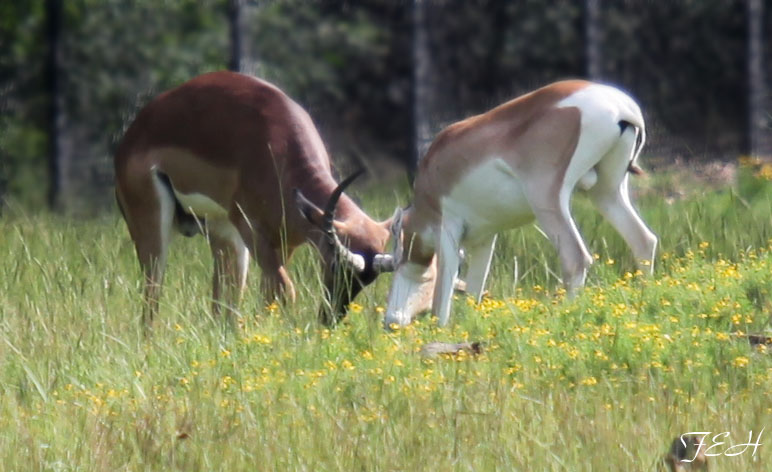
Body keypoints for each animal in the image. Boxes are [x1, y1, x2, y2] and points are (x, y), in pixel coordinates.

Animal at [114, 71, 400, 326]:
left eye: (368, 280)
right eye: (333, 264)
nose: (329, 317)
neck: (277, 147)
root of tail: (132, 135)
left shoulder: (285, 242)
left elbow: (269, 294)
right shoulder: (252, 231)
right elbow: (285, 290)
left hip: (224, 234)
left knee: (223, 302)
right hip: (156, 235)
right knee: (151, 301)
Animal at [384, 80, 658, 328]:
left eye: (397, 261)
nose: (390, 320)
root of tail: (621, 106)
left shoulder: (449, 227)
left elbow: (443, 293)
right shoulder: (485, 236)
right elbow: (474, 289)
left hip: (547, 200)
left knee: (576, 257)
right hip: (607, 192)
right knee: (644, 240)